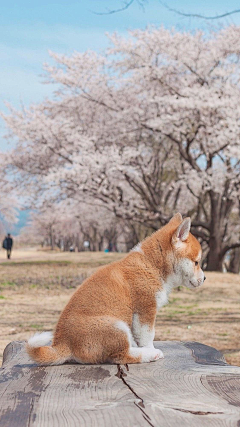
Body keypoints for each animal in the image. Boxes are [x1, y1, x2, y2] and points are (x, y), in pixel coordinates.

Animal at [27, 214, 205, 364]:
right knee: (121, 355)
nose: (204, 278)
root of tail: (63, 344)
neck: (152, 265)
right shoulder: (146, 310)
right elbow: (148, 336)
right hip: (115, 326)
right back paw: (149, 354)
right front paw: (150, 349)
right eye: (196, 262)